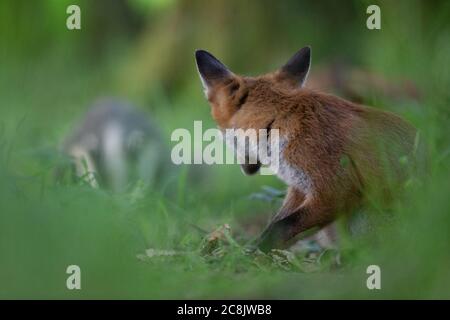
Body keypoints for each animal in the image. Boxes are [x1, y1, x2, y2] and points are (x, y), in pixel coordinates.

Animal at [195, 46, 416, 251]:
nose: (246, 170)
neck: (279, 122)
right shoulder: (300, 188)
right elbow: (275, 225)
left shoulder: (333, 190)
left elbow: (280, 228)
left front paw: (253, 255)